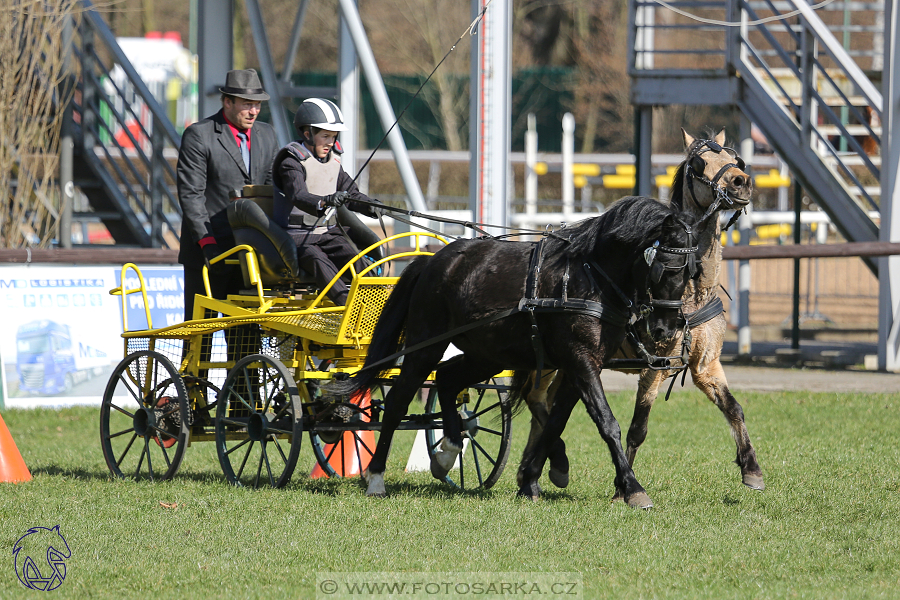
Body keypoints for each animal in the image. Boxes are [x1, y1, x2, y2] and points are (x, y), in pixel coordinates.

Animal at [330, 196, 704, 506]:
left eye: (693, 272)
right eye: (666, 268)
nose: (666, 329)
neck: (592, 279)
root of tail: (433, 261)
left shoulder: (582, 366)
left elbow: (555, 422)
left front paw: (535, 478)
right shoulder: (580, 361)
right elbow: (606, 422)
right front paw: (633, 488)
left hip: (488, 355)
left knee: (448, 380)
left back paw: (448, 450)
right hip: (427, 345)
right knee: (398, 401)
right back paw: (377, 478)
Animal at [516, 127, 764, 502]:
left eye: (736, 160)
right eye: (699, 163)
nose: (741, 182)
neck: (691, 295)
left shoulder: (706, 364)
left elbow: (733, 407)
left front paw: (751, 468)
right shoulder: (654, 365)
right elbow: (638, 428)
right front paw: (624, 488)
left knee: (546, 407)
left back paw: (532, 475)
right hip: (548, 360)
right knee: (536, 400)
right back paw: (552, 462)